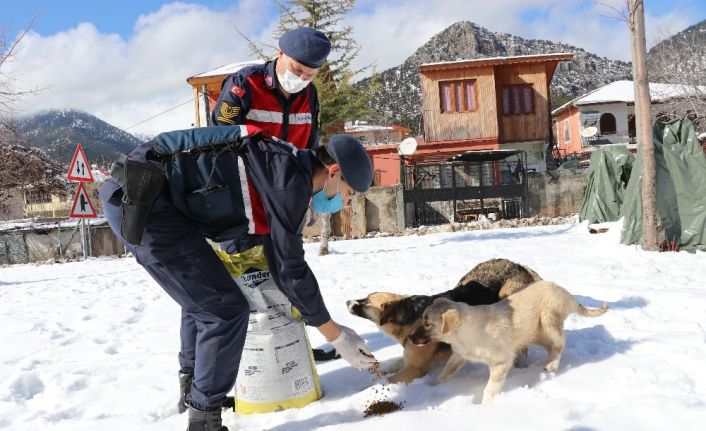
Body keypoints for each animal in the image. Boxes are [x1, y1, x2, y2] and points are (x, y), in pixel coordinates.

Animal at [346, 258, 540, 386]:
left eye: (367, 302)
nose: (347, 301)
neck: (410, 316)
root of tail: (522, 267)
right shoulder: (409, 359)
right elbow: (391, 364)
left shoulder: (414, 368)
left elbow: (388, 380)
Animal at [408, 280, 604, 404]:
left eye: (427, 323)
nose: (409, 337)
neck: (463, 332)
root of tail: (567, 293)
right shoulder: (459, 355)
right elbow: (444, 373)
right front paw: (430, 387)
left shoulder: (501, 361)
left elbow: (489, 389)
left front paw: (485, 408)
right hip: (533, 333)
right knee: (552, 345)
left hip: (549, 318)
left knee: (561, 342)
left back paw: (552, 365)